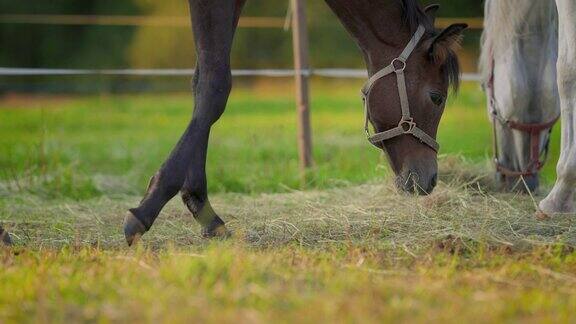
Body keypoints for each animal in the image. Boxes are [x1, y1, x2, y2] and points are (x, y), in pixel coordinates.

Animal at [122, 0, 468, 243]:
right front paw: (145, 211)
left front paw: (204, 212)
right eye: (436, 97)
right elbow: (214, 86)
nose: (430, 179)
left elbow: (200, 85)